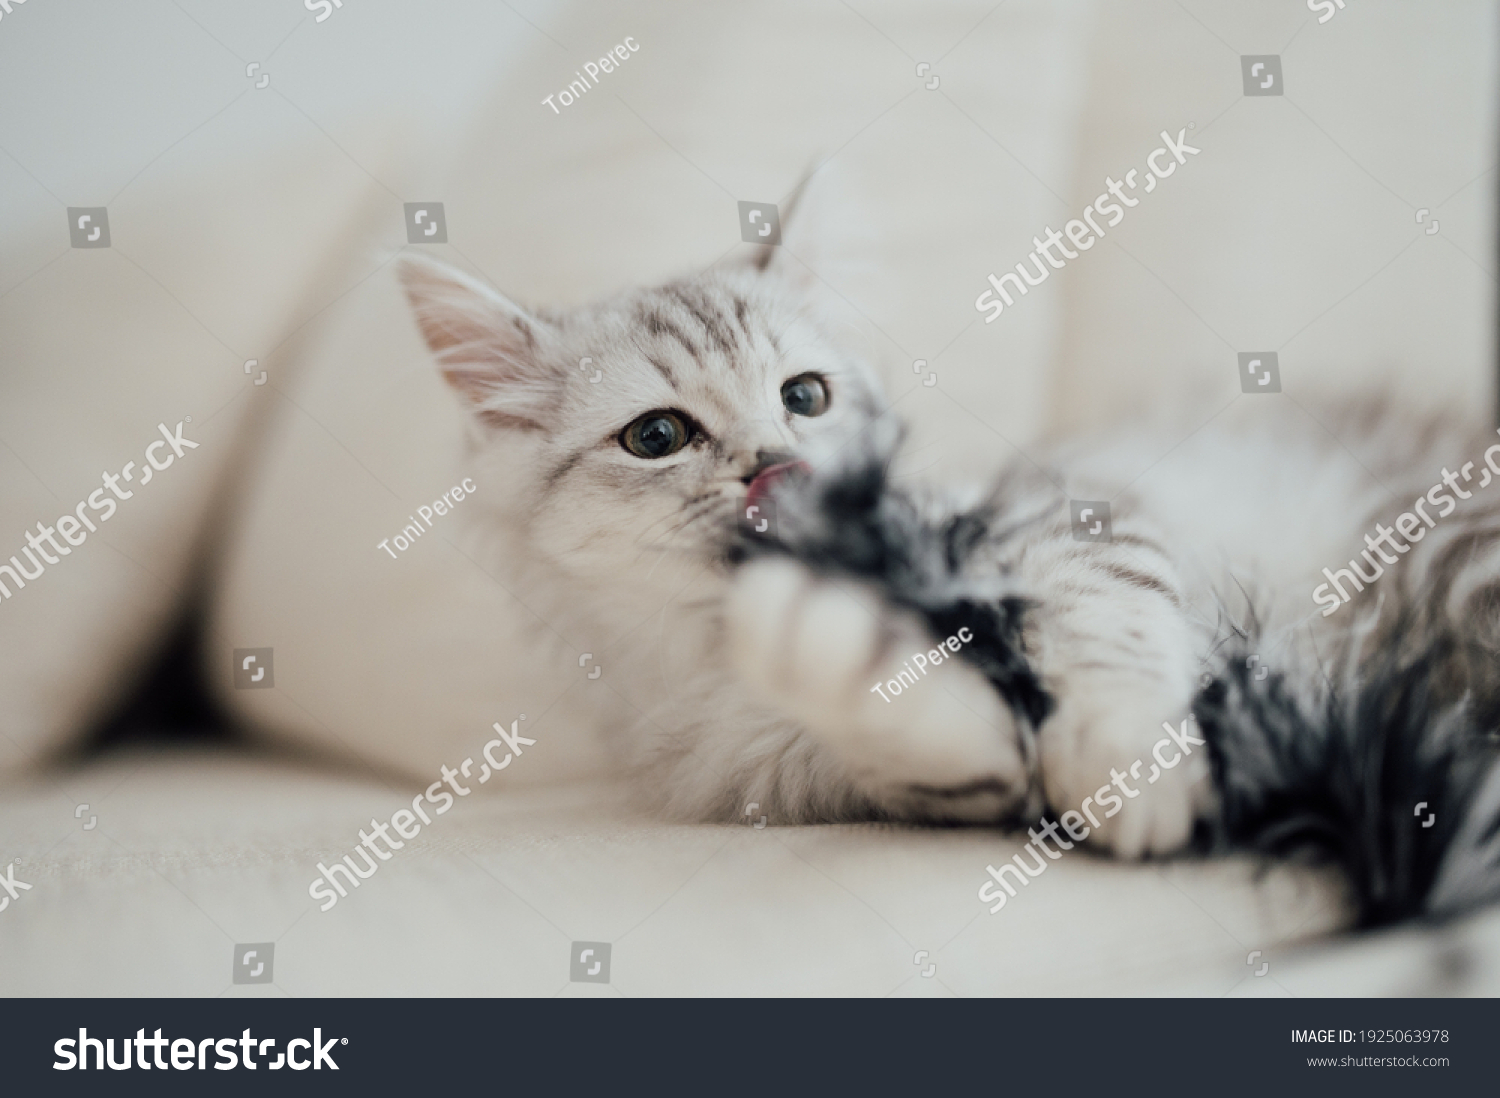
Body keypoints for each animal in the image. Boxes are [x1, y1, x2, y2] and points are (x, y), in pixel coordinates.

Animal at [399, 238, 1500, 924]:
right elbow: (919, 734)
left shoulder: (1073, 514)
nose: (776, 468)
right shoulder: (822, 772)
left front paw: (1126, 762)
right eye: (658, 437)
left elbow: (1108, 621)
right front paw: (830, 654)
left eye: (805, 397)